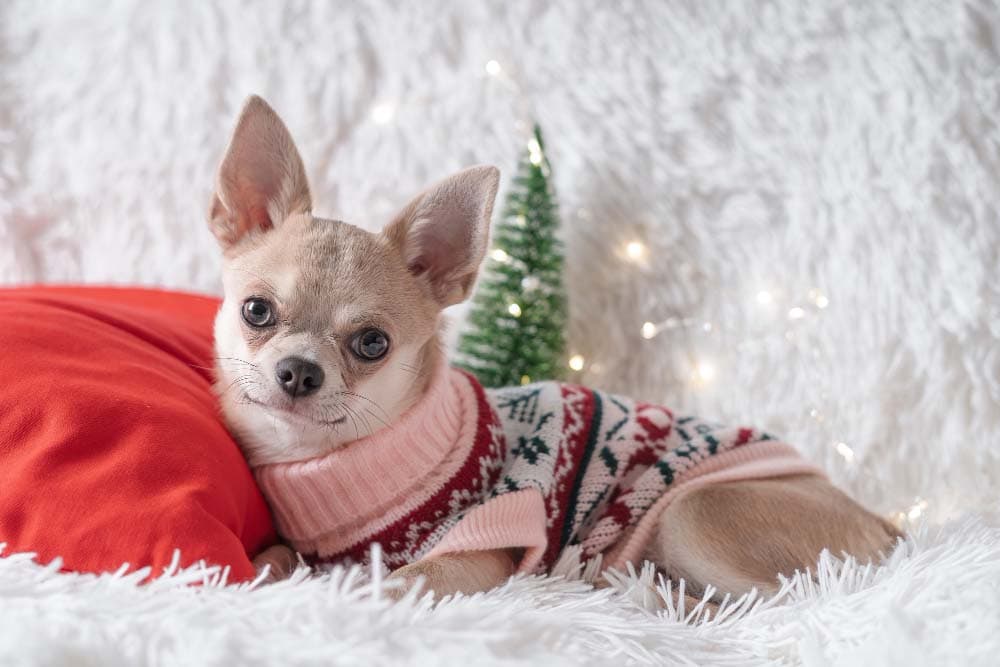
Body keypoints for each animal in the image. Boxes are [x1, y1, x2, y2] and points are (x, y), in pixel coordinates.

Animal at [211, 96, 900, 604]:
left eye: (372, 343)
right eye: (257, 311)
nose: (299, 371)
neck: (341, 461)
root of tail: (883, 523)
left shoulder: (478, 549)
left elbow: (393, 582)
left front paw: (332, 594)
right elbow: (273, 557)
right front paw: (265, 570)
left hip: (693, 513)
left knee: (788, 601)